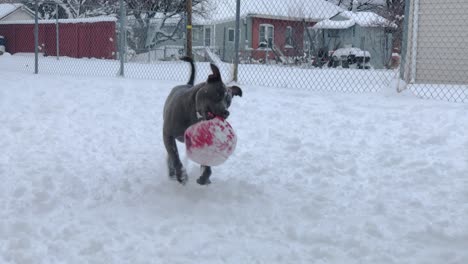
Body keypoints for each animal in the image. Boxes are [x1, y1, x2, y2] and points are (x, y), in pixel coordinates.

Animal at [162, 56, 241, 185]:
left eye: (229, 101)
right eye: (218, 94)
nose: (226, 112)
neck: (195, 115)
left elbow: (206, 163)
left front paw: (205, 177)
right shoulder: (168, 135)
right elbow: (174, 155)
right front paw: (181, 175)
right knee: (170, 155)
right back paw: (172, 172)